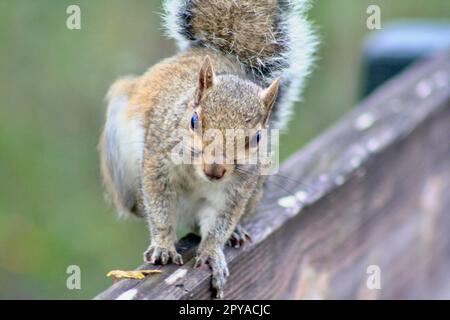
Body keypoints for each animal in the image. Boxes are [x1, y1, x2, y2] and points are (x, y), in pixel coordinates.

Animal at [98, 0, 316, 298]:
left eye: (257, 138)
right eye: (193, 120)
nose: (215, 170)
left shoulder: (237, 190)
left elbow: (219, 224)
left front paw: (213, 253)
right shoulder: (158, 163)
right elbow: (160, 206)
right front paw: (163, 245)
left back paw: (236, 233)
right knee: (140, 205)